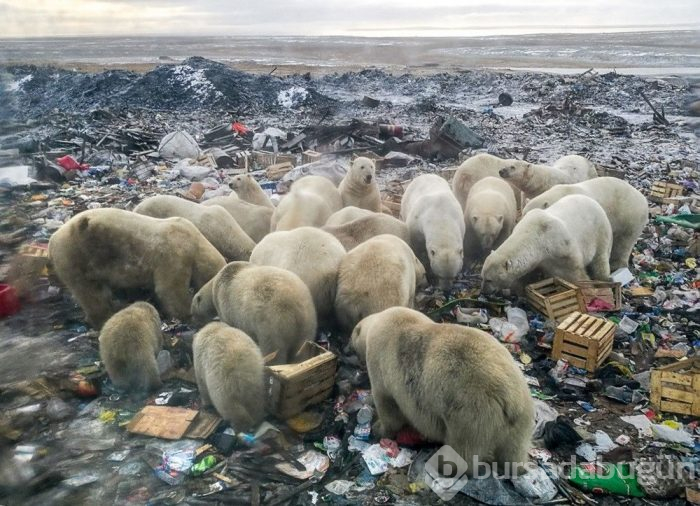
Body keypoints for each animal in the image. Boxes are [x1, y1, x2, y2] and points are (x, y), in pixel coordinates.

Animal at [49, 209, 224, 330]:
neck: (196, 241)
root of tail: (52, 240)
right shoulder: (174, 253)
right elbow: (170, 289)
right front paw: (188, 314)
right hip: (77, 256)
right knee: (91, 293)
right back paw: (105, 317)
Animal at [352, 306, 532, 476]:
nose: (348, 349)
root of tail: (509, 398)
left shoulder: (380, 362)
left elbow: (388, 405)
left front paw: (378, 428)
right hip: (521, 417)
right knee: (514, 448)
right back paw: (516, 467)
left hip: (471, 413)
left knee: (463, 449)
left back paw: (441, 463)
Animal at [482, 196, 612, 294]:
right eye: (482, 277)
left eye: (489, 280)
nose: (483, 292)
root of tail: (593, 201)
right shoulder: (540, 260)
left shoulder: (562, 248)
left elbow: (575, 273)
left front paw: (589, 291)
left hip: (600, 231)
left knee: (600, 259)